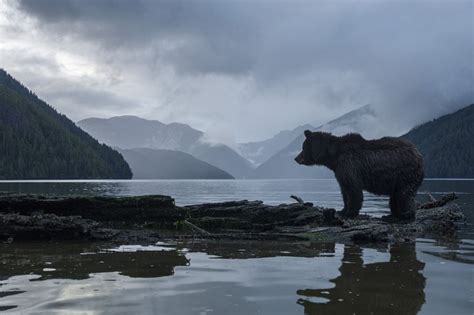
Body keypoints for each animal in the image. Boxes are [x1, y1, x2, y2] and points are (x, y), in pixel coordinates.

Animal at [294, 130, 424, 221]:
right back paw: (391, 216)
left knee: (404, 194)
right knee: (396, 196)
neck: (334, 157)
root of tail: (418, 154)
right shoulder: (340, 171)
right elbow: (344, 190)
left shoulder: (349, 165)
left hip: (405, 173)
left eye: (303, 147)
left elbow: (353, 190)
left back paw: (405, 216)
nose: (296, 158)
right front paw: (342, 210)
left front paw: (349, 213)